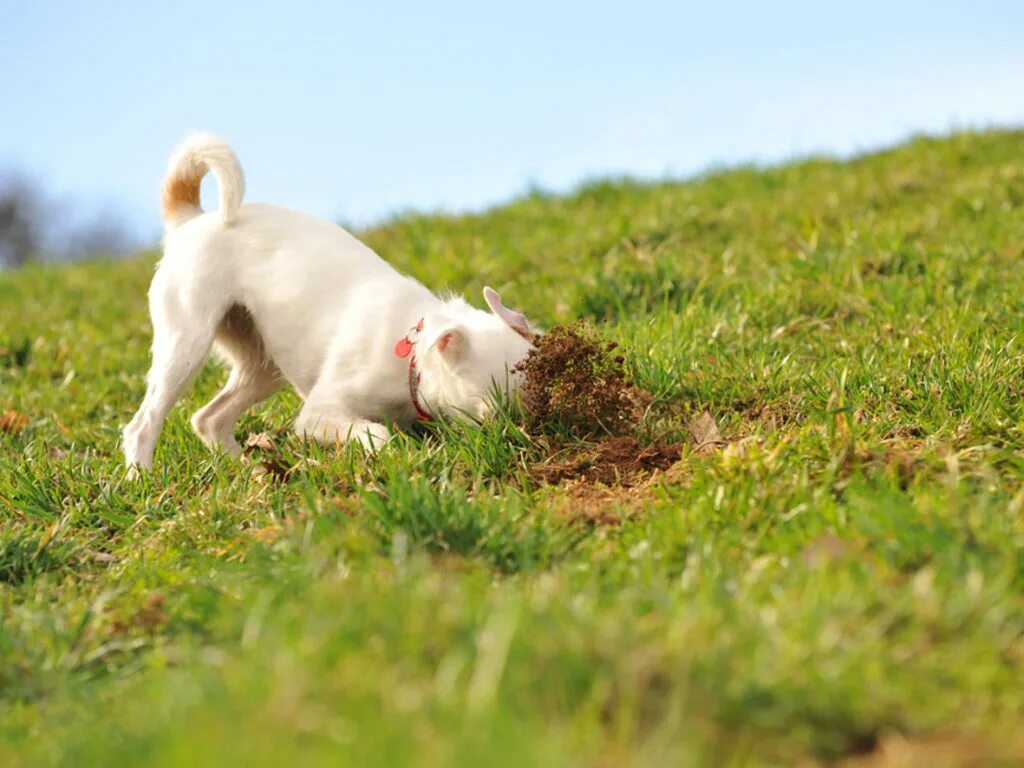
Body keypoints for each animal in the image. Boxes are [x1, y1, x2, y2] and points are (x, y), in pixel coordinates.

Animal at [124, 134, 540, 468]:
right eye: (492, 410)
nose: (527, 435)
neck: (411, 361)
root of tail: (192, 219)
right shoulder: (317, 416)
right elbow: (377, 433)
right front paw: (390, 451)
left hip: (262, 364)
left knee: (208, 419)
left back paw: (244, 468)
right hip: (186, 345)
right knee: (142, 425)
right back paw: (141, 478)